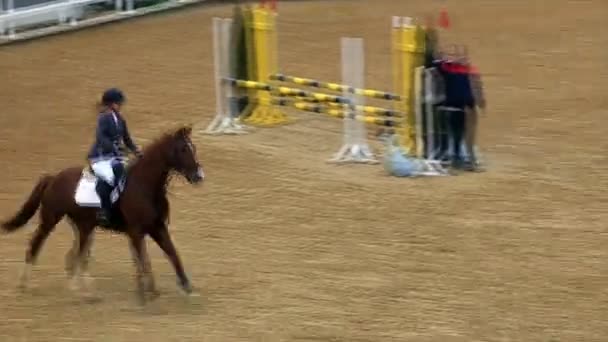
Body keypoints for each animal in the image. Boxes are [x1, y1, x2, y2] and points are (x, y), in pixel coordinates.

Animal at [0, 125, 205, 304]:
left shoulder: (157, 228)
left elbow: (172, 254)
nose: (198, 176)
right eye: (183, 150)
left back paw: (81, 290)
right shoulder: (136, 231)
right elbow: (144, 260)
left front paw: (186, 287)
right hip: (50, 219)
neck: (146, 186)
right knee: (37, 246)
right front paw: (148, 292)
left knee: (75, 257)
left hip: (84, 226)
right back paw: (28, 284)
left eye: (193, 148)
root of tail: (53, 178)